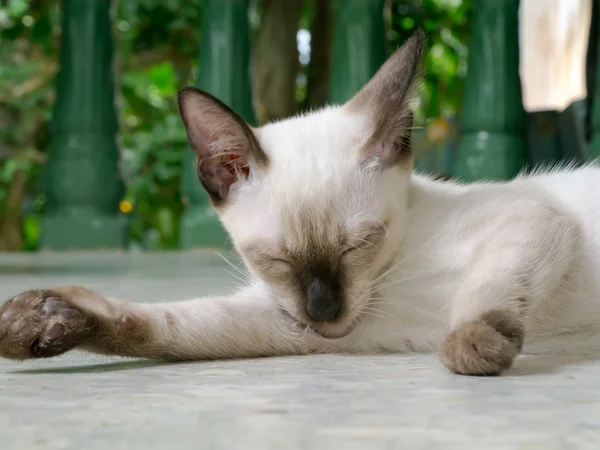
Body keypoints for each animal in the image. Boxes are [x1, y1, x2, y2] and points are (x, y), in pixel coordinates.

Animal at [1, 28, 600, 376]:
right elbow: (165, 326)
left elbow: (488, 287)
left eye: (361, 244)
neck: (390, 278)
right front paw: (43, 322)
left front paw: (472, 345)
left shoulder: (528, 220)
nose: (323, 310)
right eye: (274, 260)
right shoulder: (294, 326)